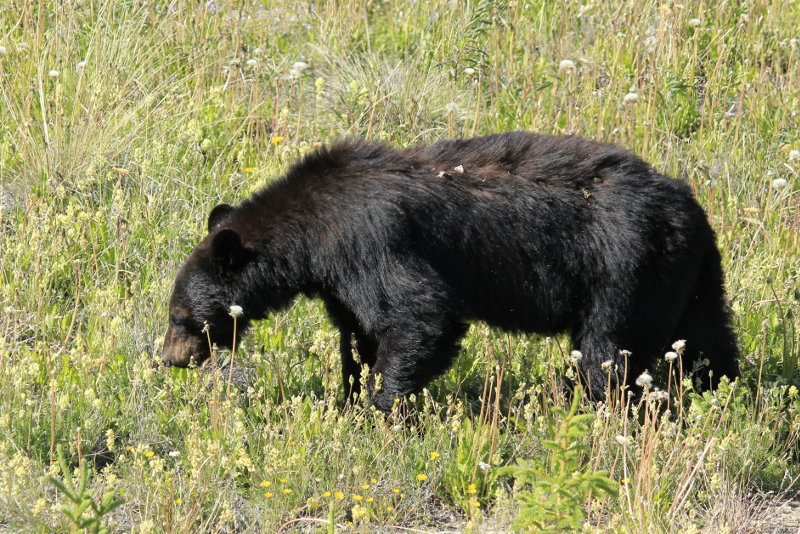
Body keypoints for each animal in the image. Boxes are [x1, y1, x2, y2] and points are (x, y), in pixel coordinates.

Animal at [162, 131, 736, 414]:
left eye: (180, 315)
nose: (167, 358)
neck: (311, 230)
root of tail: (689, 207)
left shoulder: (370, 240)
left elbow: (420, 313)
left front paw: (381, 409)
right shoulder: (340, 280)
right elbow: (361, 333)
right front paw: (350, 396)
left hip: (624, 269)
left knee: (608, 350)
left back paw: (607, 413)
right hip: (688, 274)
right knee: (708, 337)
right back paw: (721, 391)